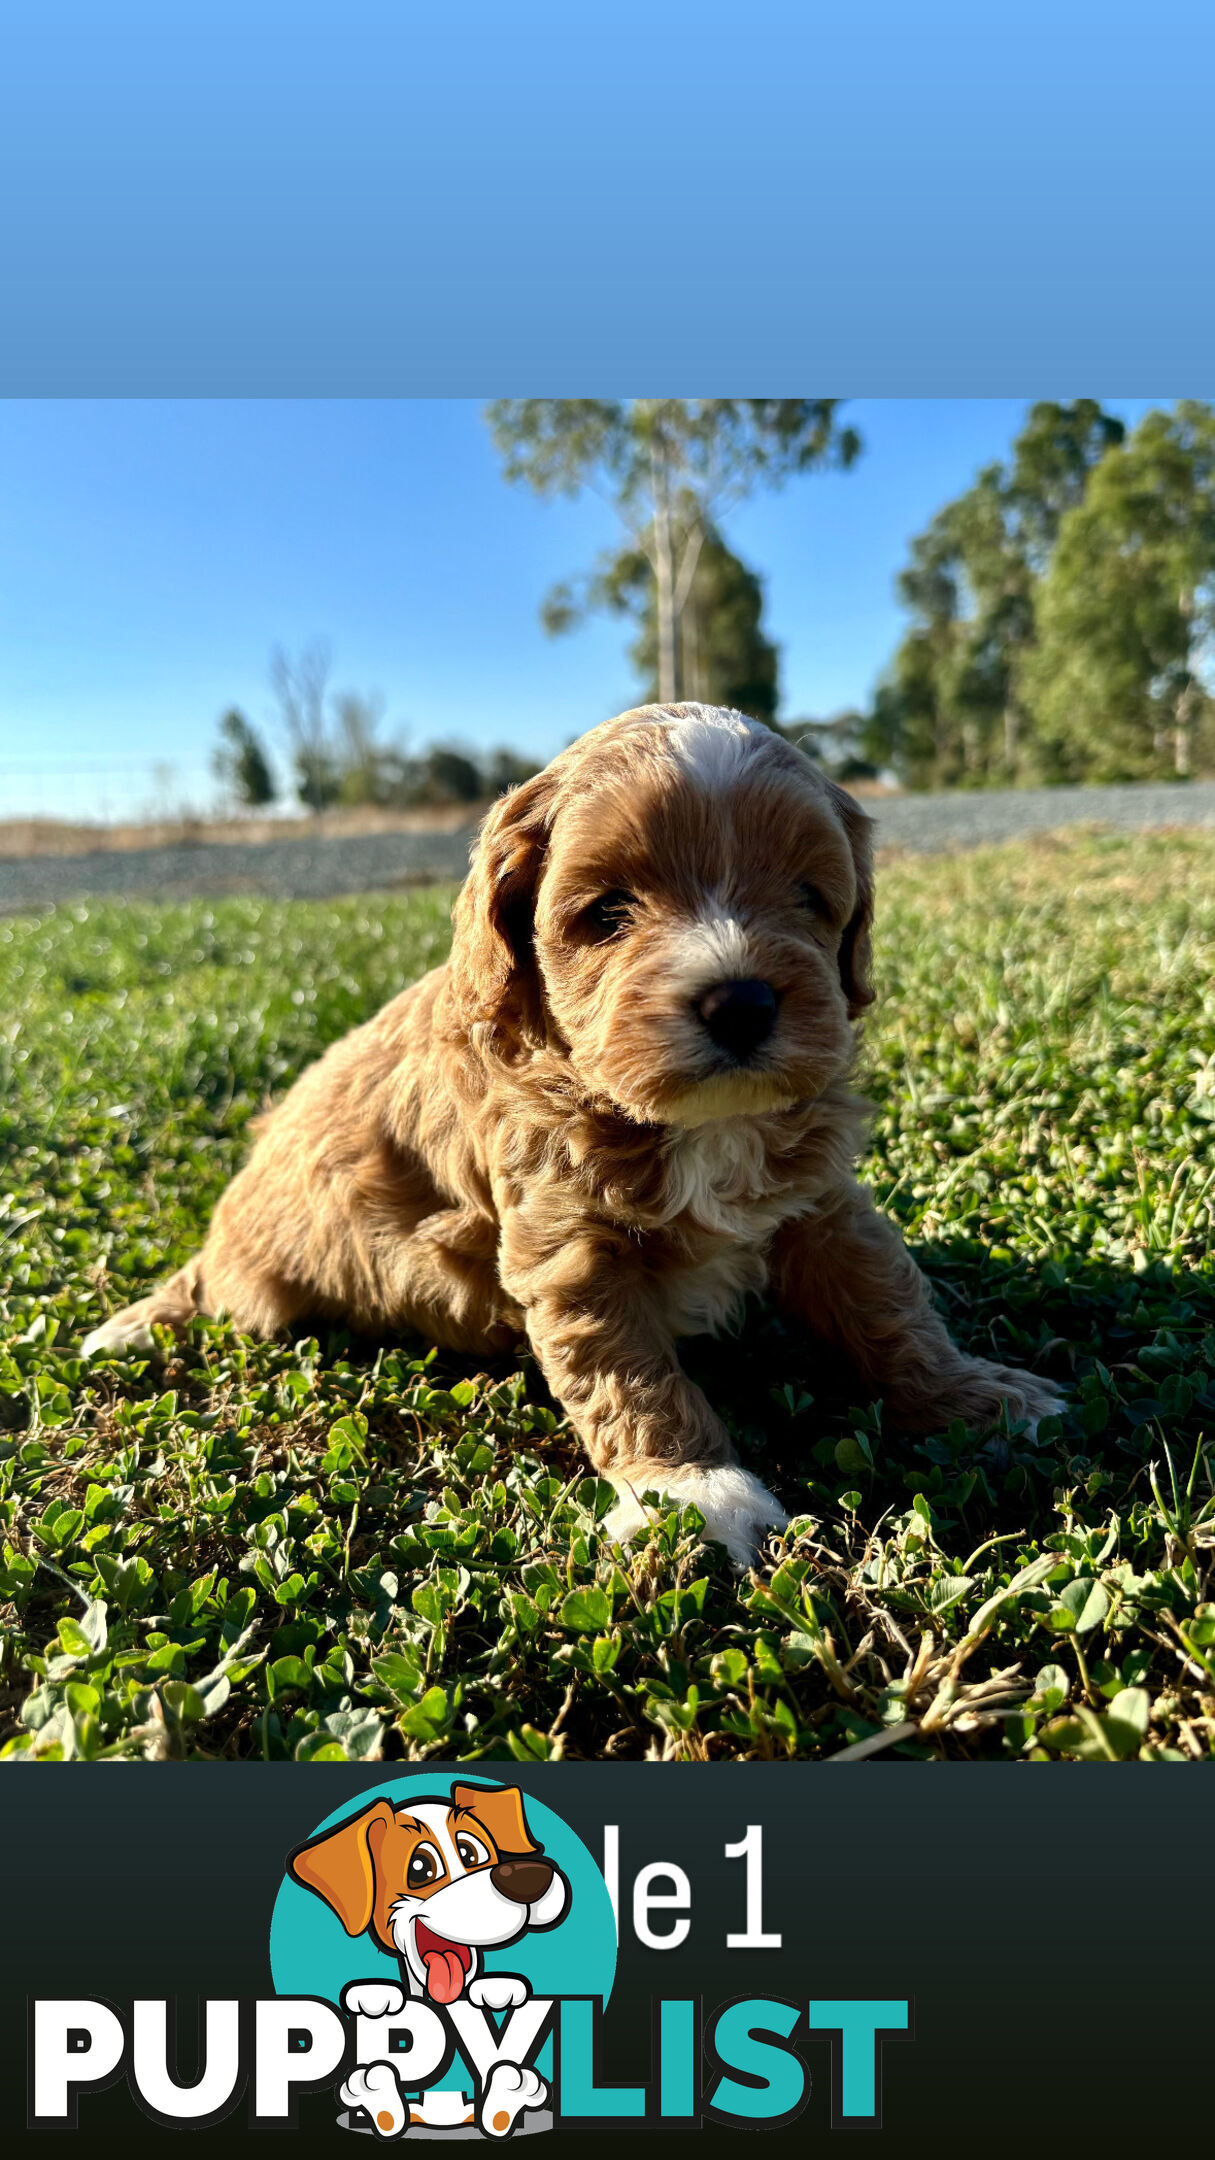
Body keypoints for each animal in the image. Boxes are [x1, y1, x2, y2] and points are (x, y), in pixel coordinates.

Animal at [82, 699, 1059, 1563]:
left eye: (808, 897)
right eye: (607, 913)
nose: (741, 1001)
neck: (694, 1127)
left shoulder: (819, 1201)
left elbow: (887, 1303)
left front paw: (977, 1396)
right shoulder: (565, 1236)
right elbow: (624, 1365)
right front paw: (692, 1488)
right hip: (255, 1289)